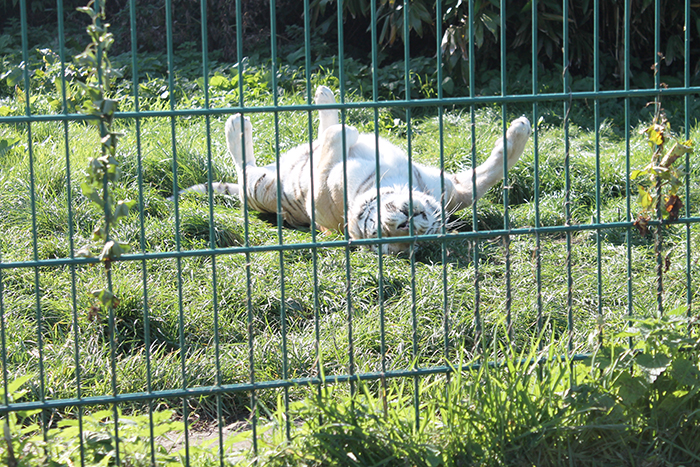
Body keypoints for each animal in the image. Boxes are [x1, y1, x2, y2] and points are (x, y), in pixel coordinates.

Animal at [180, 88, 532, 256]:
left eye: (386, 238)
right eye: (379, 229)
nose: (406, 222)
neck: (395, 182)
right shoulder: (451, 187)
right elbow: (486, 177)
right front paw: (520, 129)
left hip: (261, 186)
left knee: (245, 169)